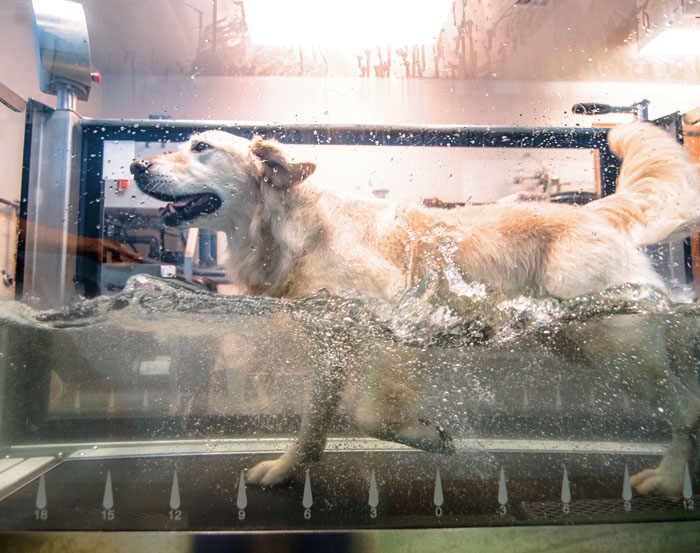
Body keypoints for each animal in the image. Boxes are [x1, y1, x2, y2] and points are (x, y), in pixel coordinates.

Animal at [131, 123, 700, 494]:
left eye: (200, 147)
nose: (135, 164)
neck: (293, 227)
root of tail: (594, 210)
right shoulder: (330, 339)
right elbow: (315, 420)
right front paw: (289, 469)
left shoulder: (392, 325)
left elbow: (371, 416)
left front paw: (431, 437)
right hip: (575, 339)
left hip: (610, 342)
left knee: (687, 408)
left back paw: (670, 478)